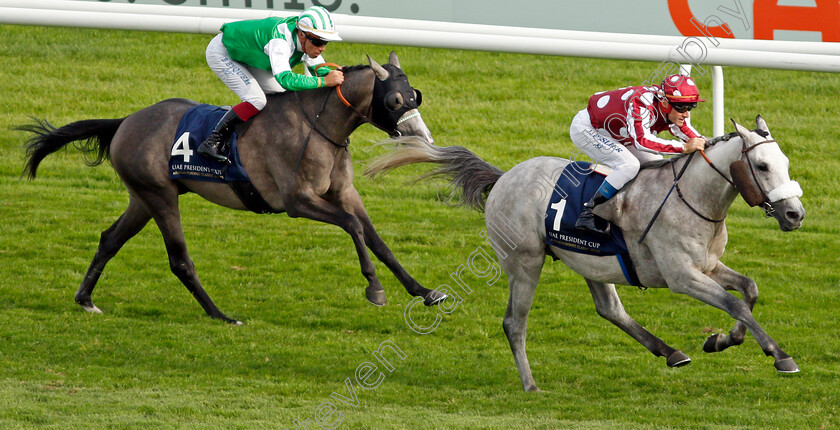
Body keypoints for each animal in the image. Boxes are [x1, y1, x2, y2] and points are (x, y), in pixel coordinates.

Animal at [19, 52, 446, 324]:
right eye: (394, 99)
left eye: (416, 96)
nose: (423, 137)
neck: (319, 125)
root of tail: (125, 121)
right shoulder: (297, 201)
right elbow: (354, 228)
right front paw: (374, 289)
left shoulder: (343, 193)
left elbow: (377, 240)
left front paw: (425, 291)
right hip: (159, 196)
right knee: (179, 260)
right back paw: (220, 315)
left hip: (143, 197)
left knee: (110, 239)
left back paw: (86, 300)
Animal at [368, 116, 808, 392]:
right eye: (762, 165)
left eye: (785, 162)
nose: (794, 214)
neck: (694, 198)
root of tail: (505, 177)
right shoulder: (682, 277)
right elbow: (736, 304)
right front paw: (780, 355)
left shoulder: (708, 265)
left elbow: (748, 291)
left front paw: (722, 341)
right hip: (525, 262)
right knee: (514, 323)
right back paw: (530, 384)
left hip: (590, 262)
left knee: (610, 310)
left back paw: (672, 353)